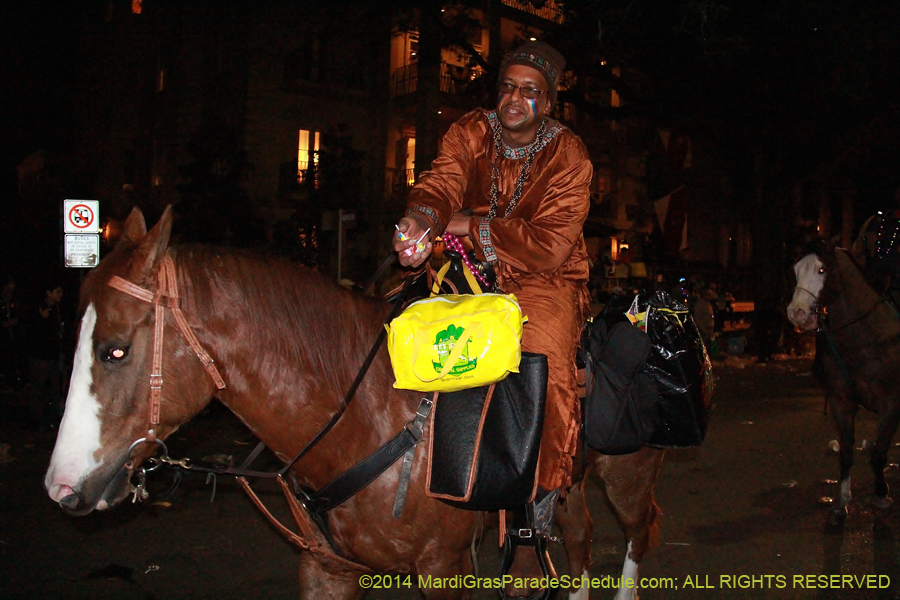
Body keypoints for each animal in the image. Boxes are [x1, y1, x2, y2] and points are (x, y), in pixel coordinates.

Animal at [44, 207, 660, 600]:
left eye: (115, 350)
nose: (60, 488)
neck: (368, 416)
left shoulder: (444, 568)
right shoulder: (327, 569)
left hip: (628, 471)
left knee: (639, 529)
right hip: (570, 481)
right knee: (577, 538)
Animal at [784, 241, 900, 524]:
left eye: (822, 269)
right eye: (796, 270)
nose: (796, 312)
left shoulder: (891, 404)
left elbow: (878, 454)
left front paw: (881, 496)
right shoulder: (841, 402)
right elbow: (846, 451)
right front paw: (841, 502)